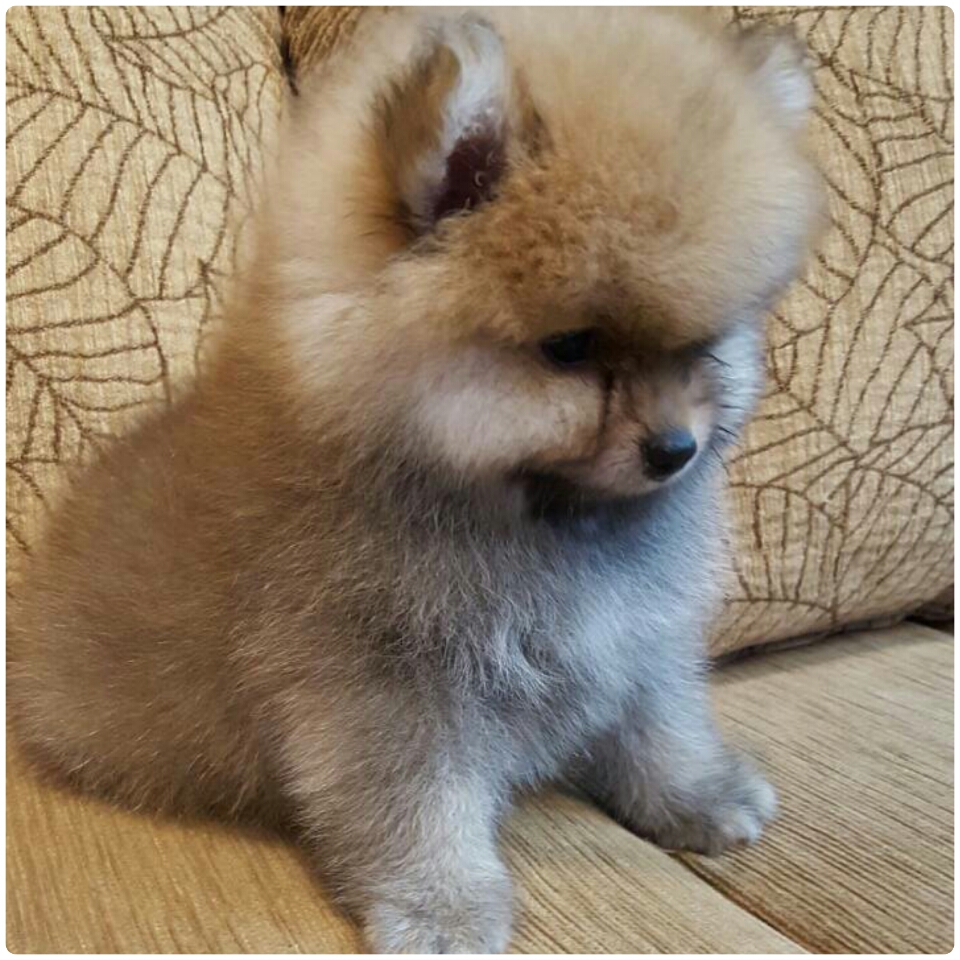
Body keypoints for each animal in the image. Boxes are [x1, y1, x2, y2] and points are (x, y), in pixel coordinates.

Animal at [9, 9, 823, 952]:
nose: (675, 448)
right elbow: (416, 808)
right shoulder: (381, 685)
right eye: (569, 348)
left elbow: (661, 725)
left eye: (704, 344)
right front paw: (443, 907)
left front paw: (697, 795)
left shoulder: (636, 638)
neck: (537, 516)